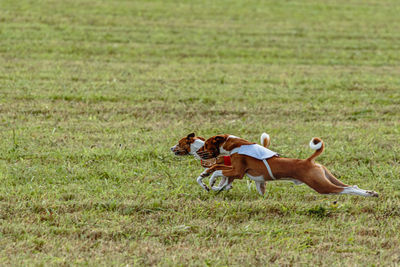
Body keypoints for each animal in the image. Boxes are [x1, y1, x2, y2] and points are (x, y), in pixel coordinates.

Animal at [197, 135, 378, 198]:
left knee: (347, 189)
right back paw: (370, 193)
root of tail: (309, 160)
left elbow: (218, 171)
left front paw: (211, 180)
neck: (237, 145)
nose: (198, 151)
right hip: (327, 178)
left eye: (206, 144)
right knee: (352, 185)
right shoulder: (255, 180)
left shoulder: (238, 171)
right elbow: (220, 175)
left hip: (322, 186)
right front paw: (211, 182)